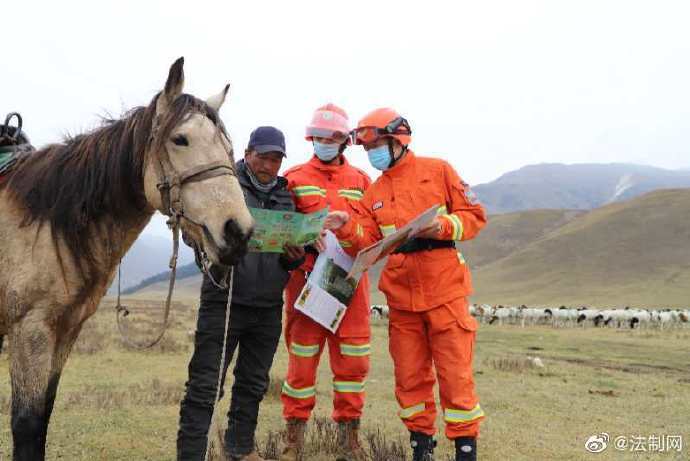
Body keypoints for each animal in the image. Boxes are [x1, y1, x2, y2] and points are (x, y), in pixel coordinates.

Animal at [0, 58, 253, 460]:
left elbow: (44, 416)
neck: (47, 221)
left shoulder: (66, 331)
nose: (237, 231)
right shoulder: (30, 330)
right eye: (180, 139)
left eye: (228, 147)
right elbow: (27, 425)